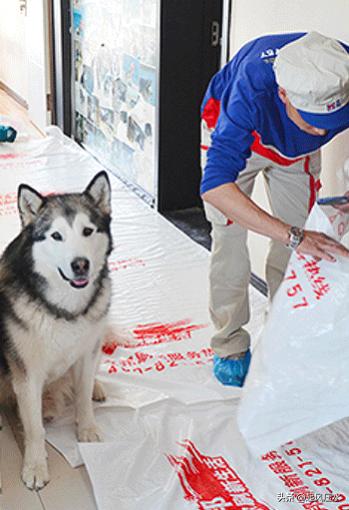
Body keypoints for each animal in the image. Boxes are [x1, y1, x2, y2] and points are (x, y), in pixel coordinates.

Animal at [0, 170, 112, 490]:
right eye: (56, 235)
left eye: (87, 231)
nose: (80, 265)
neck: (65, 309)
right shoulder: (27, 373)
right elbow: (34, 428)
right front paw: (35, 466)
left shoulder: (86, 353)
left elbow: (83, 395)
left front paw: (87, 430)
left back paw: (97, 386)